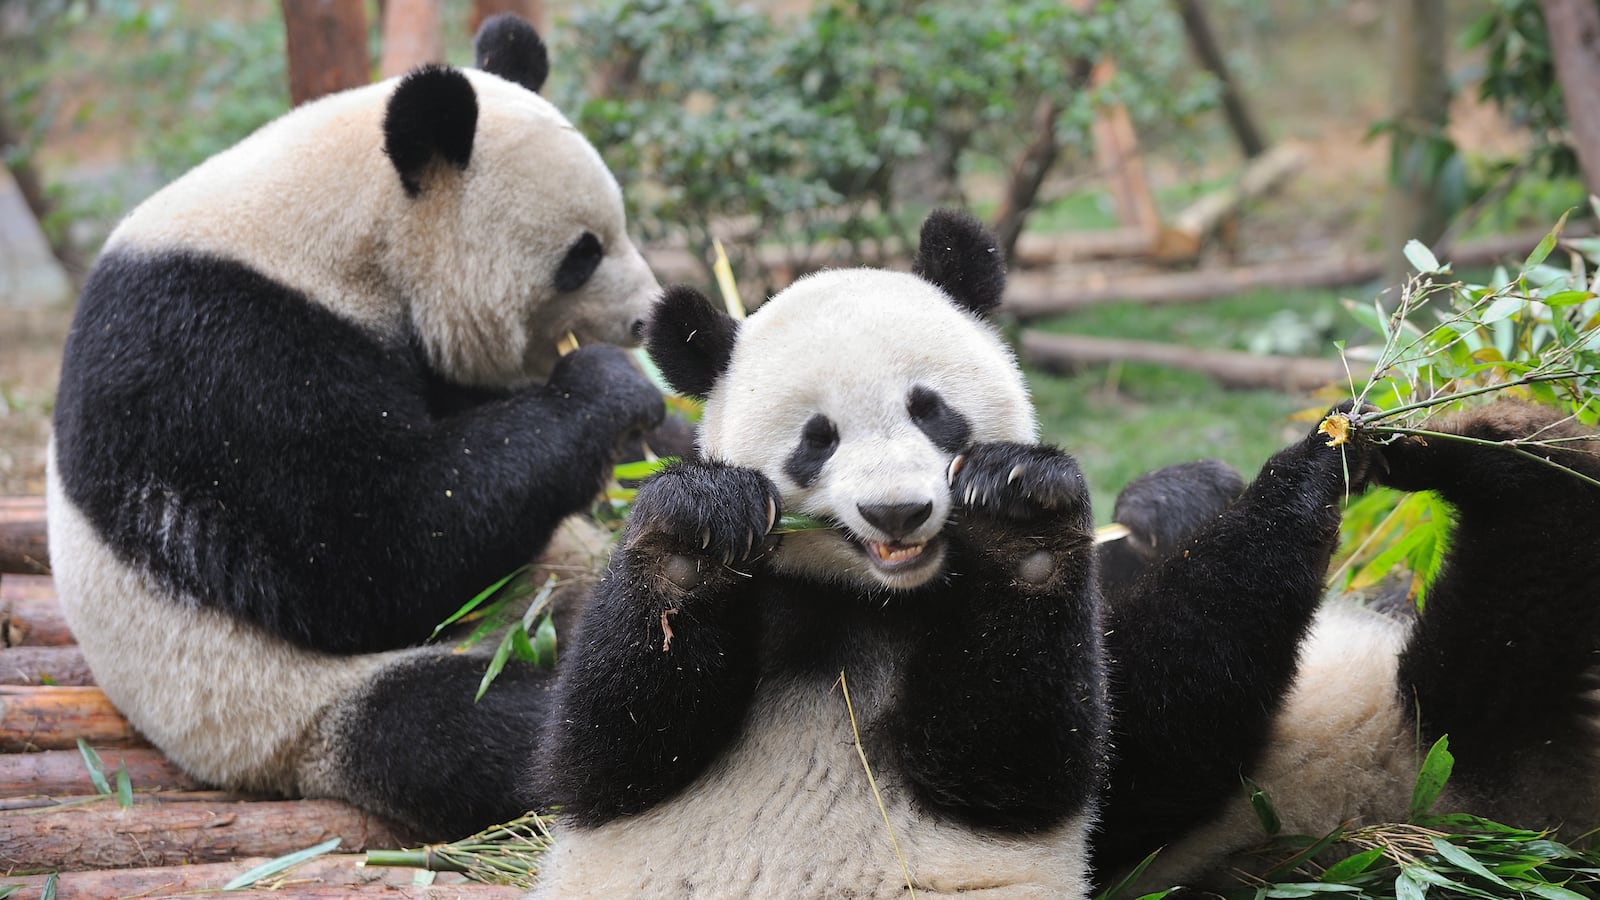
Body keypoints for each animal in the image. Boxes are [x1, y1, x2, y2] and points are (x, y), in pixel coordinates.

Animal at [46, 14, 663, 841]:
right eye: (582, 255)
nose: (647, 316)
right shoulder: (217, 354)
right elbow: (370, 548)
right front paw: (610, 389)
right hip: (283, 709)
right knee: (474, 724)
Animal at [528, 208, 1396, 898]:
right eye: (817, 439)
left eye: (930, 410)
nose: (898, 510)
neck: (869, 599)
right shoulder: (762, 602)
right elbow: (606, 751)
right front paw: (699, 526)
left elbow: (1021, 758)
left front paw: (1021, 517)